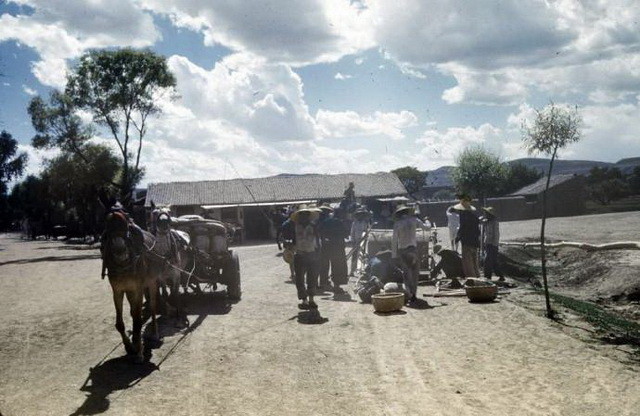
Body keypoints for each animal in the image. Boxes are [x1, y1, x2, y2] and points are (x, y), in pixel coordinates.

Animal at [101, 210, 160, 362]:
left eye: (126, 228)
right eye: (108, 232)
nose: (119, 250)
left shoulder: (138, 289)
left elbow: (138, 320)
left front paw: (139, 352)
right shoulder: (118, 290)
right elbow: (120, 323)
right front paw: (130, 346)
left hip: (152, 283)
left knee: (152, 307)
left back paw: (154, 334)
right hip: (129, 291)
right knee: (134, 312)